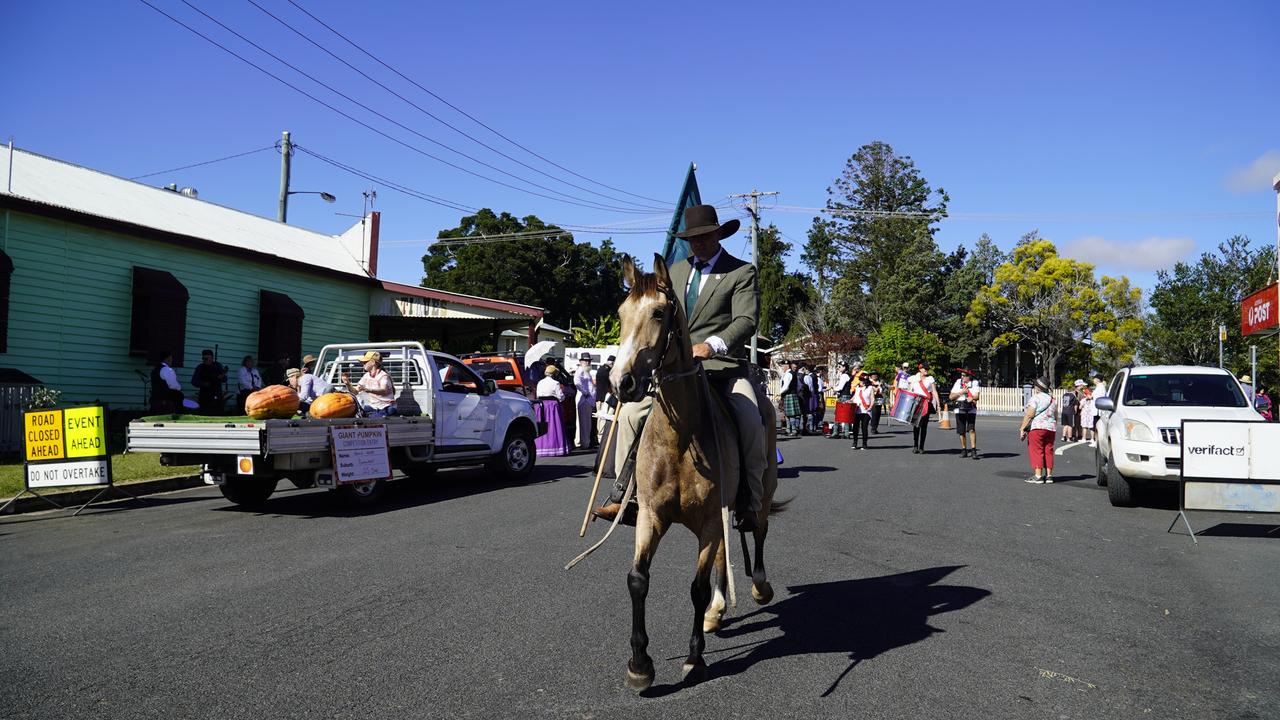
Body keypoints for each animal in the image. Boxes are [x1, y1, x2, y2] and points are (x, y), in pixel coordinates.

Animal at [609, 254, 778, 686]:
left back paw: (759, 587)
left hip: (761, 489)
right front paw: (640, 664)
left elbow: (697, 588)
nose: (621, 382)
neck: (681, 437)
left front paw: (695, 657)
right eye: (620, 313)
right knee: (722, 554)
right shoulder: (652, 516)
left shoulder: (709, 520)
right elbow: (637, 580)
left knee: (759, 530)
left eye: (659, 312)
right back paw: (717, 612)